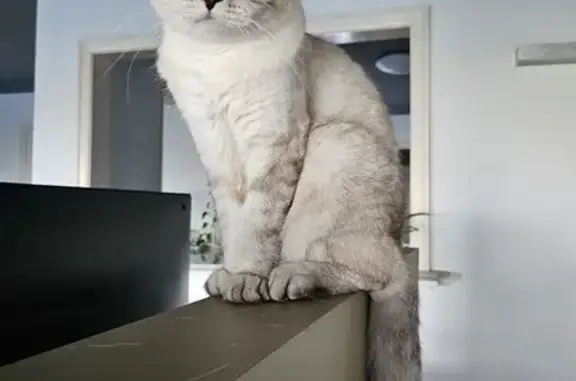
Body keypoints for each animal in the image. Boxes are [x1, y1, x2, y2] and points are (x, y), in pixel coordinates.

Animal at [152, 0, 424, 378]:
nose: (210, 3)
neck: (216, 59)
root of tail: (397, 237)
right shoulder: (217, 153)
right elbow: (234, 225)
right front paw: (230, 277)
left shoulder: (274, 143)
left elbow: (257, 227)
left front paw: (246, 279)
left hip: (332, 142)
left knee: (382, 274)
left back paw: (295, 276)